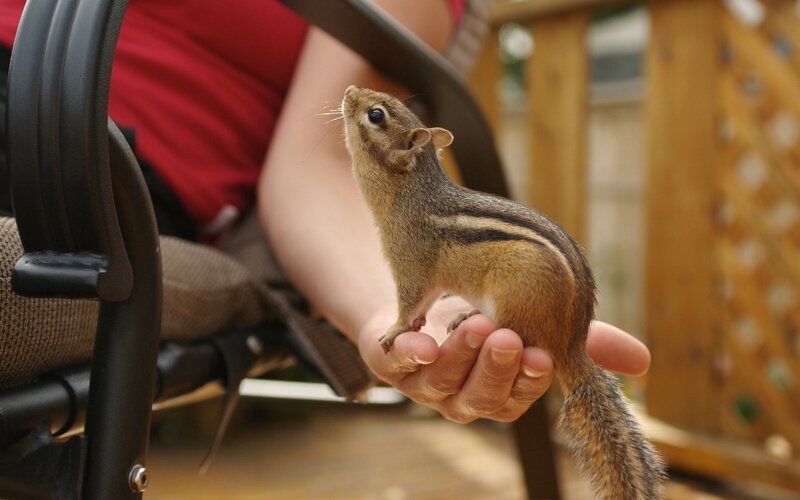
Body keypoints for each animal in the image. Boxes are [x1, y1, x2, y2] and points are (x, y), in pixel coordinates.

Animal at [341, 85, 665, 499]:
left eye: (376, 115)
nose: (350, 91)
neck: (411, 192)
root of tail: (571, 342)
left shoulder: (411, 265)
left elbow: (412, 301)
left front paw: (395, 330)